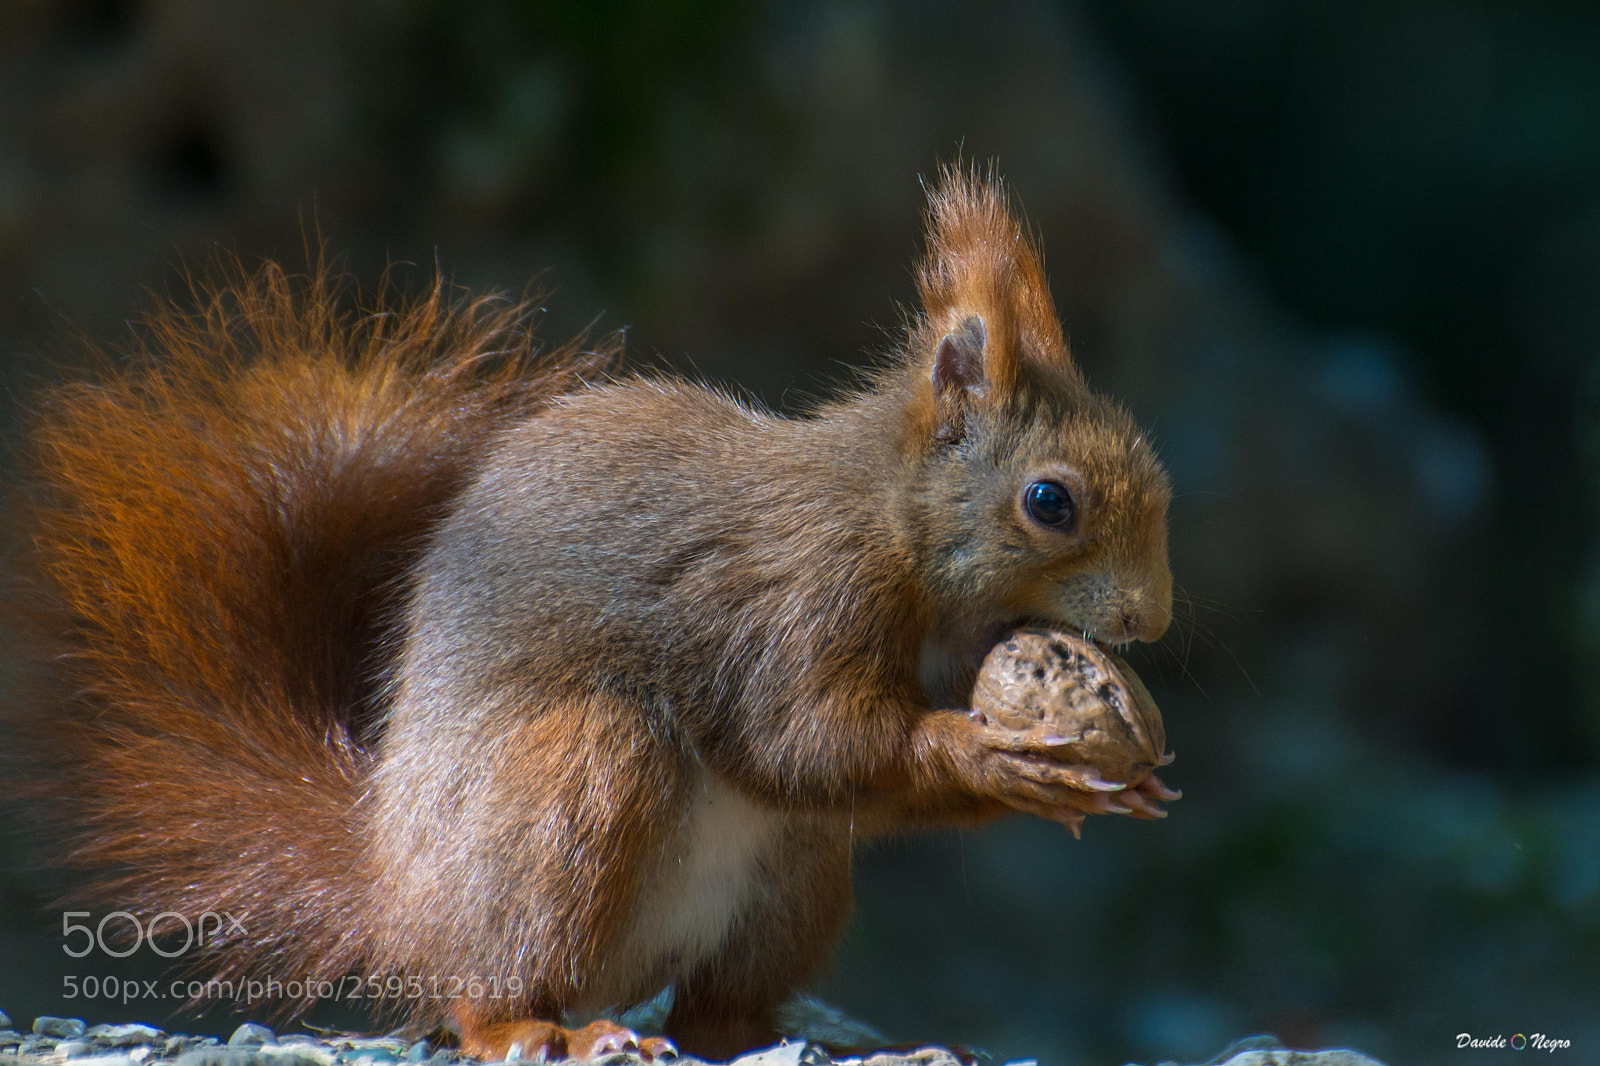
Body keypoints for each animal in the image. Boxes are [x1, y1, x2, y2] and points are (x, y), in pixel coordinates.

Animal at [9, 168, 1175, 1062]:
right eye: (1050, 501)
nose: (1153, 621)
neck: (893, 523)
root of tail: (394, 892)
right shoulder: (797, 598)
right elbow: (802, 739)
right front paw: (1000, 754)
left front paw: (1113, 774)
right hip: (570, 785)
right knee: (493, 980)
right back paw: (532, 1029)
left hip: (793, 881)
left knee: (718, 1016)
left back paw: (855, 1042)